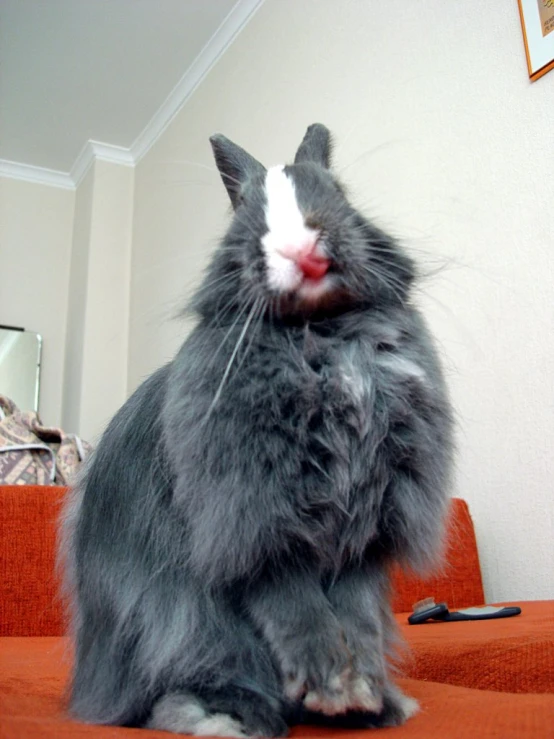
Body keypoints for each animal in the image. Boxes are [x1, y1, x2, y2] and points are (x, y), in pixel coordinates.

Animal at [60, 123, 450, 736]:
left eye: (338, 191)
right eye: (244, 208)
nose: (303, 251)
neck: (319, 335)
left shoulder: (367, 525)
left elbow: (359, 612)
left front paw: (359, 688)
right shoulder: (252, 523)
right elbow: (292, 605)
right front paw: (329, 684)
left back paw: (382, 707)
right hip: (186, 629)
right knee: (178, 683)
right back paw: (226, 716)